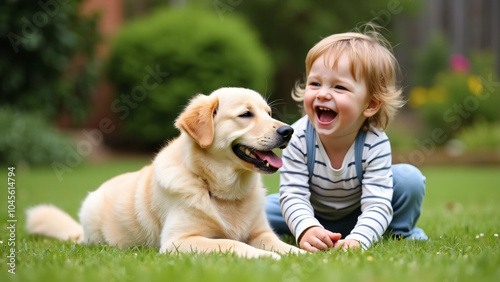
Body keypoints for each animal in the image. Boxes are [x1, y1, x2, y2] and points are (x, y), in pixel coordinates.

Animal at [27, 87, 304, 258]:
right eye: (246, 114)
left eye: (269, 113)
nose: (288, 131)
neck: (222, 191)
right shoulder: (178, 241)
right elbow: (230, 242)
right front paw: (265, 256)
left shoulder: (261, 232)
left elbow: (282, 245)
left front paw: (303, 254)